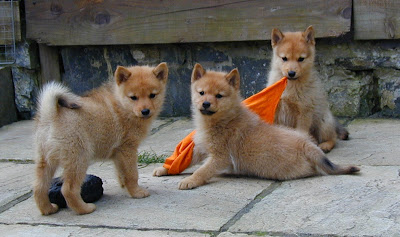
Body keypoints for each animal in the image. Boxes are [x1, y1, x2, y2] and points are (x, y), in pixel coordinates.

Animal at [32, 63, 167, 215]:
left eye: (152, 95)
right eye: (133, 97)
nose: (145, 111)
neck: (122, 105)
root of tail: (51, 115)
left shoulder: (119, 154)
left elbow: (121, 173)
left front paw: (124, 187)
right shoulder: (128, 149)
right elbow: (132, 174)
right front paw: (136, 192)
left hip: (46, 161)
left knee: (39, 188)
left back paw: (48, 209)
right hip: (79, 158)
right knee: (68, 189)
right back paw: (85, 209)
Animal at [177, 63, 358, 191]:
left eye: (219, 96)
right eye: (201, 93)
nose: (206, 104)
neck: (223, 120)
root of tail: (306, 145)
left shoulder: (219, 157)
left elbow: (202, 170)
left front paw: (190, 180)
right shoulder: (202, 149)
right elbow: (187, 160)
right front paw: (170, 169)